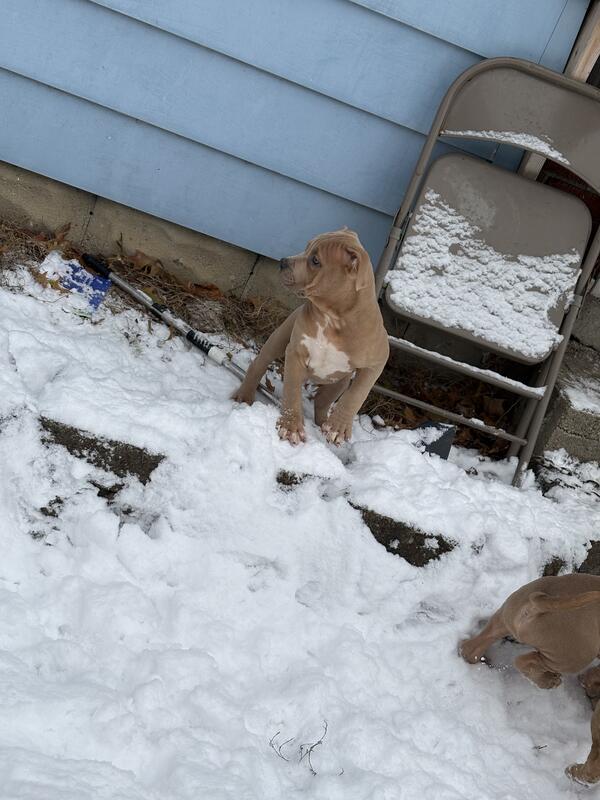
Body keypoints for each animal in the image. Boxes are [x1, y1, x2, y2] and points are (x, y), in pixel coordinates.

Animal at [232, 229, 389, 445]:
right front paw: (290, 427)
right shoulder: (295, 353)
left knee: (322, 402)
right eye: (306, 247)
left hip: (339, 382)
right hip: (278, 340)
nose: (283, 261)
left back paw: (323, 423)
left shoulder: (376, 364)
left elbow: (357, 394)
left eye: (315, 261)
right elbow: (291, 392)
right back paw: (245, 395)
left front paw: (338, 427)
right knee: (259, 364)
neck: (333, 318)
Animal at [460, 574, 600, 784]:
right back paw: (548, 681)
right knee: (524, 660)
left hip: (505, 616)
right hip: (570, 656)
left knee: (474, 647)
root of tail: (540, 605)